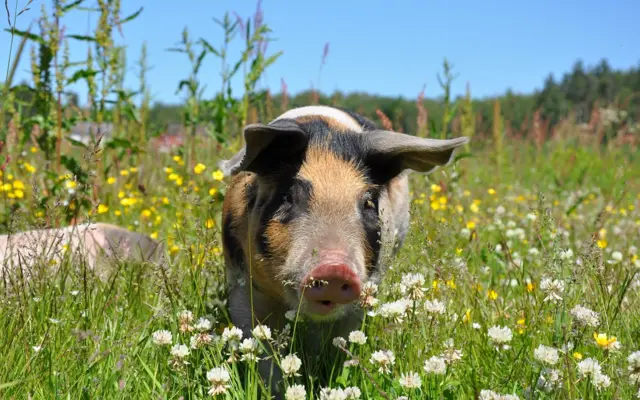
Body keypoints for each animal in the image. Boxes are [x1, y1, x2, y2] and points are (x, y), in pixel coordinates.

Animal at [219, 105, 468, 397]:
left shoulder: (363, 293)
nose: (335, 268)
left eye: (368, 203)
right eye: (288, 197)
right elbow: (260, 347)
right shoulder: (241, 283)